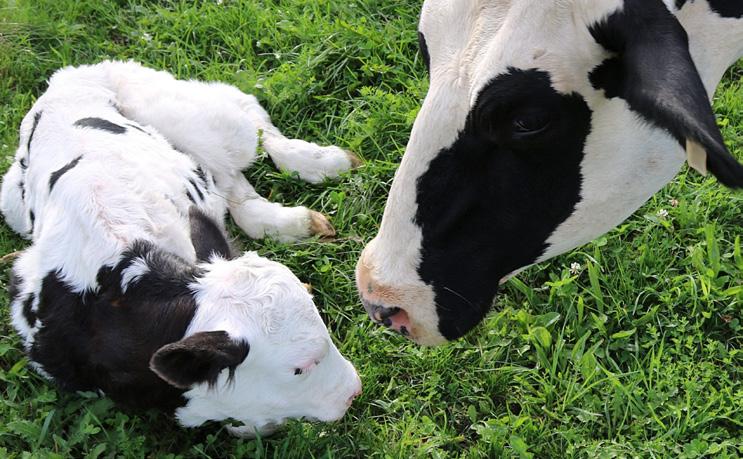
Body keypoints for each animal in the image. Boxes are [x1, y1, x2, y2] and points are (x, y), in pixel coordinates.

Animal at [0, 61, 362, 437]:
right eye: (300, 368)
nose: (354, 391)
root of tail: (64, 78)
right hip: (12, 205)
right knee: (232, 185)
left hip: (190, 114)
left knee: (252, 124)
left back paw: (322, 163)